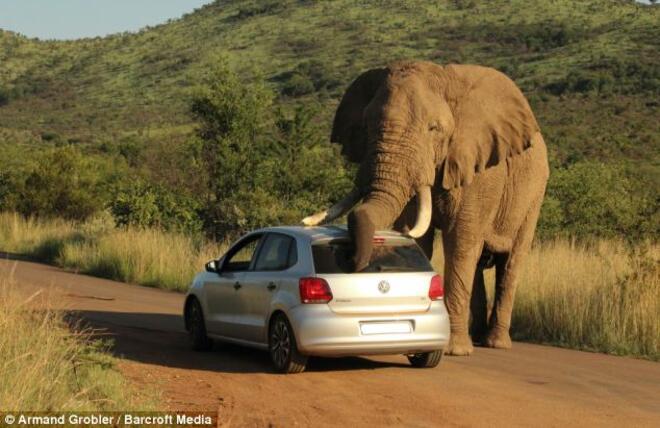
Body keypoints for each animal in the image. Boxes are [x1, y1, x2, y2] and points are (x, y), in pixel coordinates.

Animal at [302, 60, 548, 354]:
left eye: (433, 128)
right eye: (367, 124)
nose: (348, 260)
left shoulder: (481, 172)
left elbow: (459, 242)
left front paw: (453, 350)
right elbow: (421, 238)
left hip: (533, 195)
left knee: (509, 262)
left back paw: (495, 343)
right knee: (478, 262)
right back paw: (476, 337)